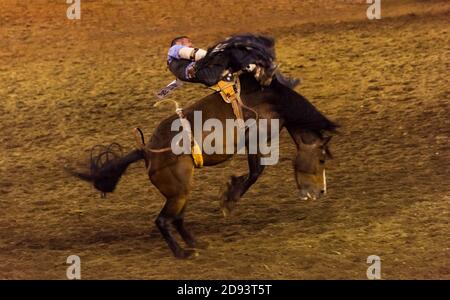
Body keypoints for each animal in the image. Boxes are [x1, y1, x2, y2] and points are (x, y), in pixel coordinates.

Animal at [73, 73, 338, 258]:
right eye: (322, 159)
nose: (322, 191)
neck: (273, 101)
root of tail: (146, 151)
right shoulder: (255, 139)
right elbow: (256, 171)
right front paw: (229, 198)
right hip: (178, 192)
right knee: (163, 221)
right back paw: (183, 253)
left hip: (182, 191)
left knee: (177, 219)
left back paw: (195, 243)